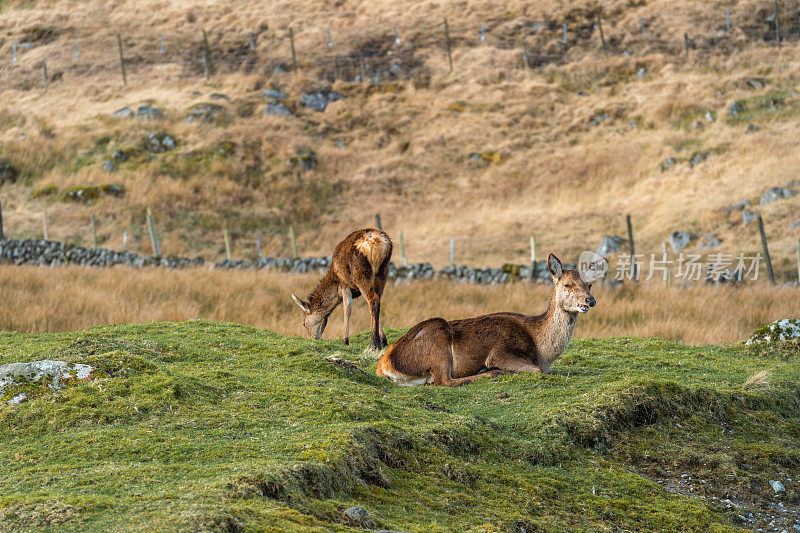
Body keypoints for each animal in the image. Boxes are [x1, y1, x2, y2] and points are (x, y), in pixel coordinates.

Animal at [378, 254, 596, 386]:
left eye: (589, 284)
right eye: (568, 284)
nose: (590, 300)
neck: (543, 352)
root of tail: (384, 365)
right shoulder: (501, 352)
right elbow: (536, 370)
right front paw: (493, 368)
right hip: (437, 338)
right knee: (444, 380)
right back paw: (491, 372)